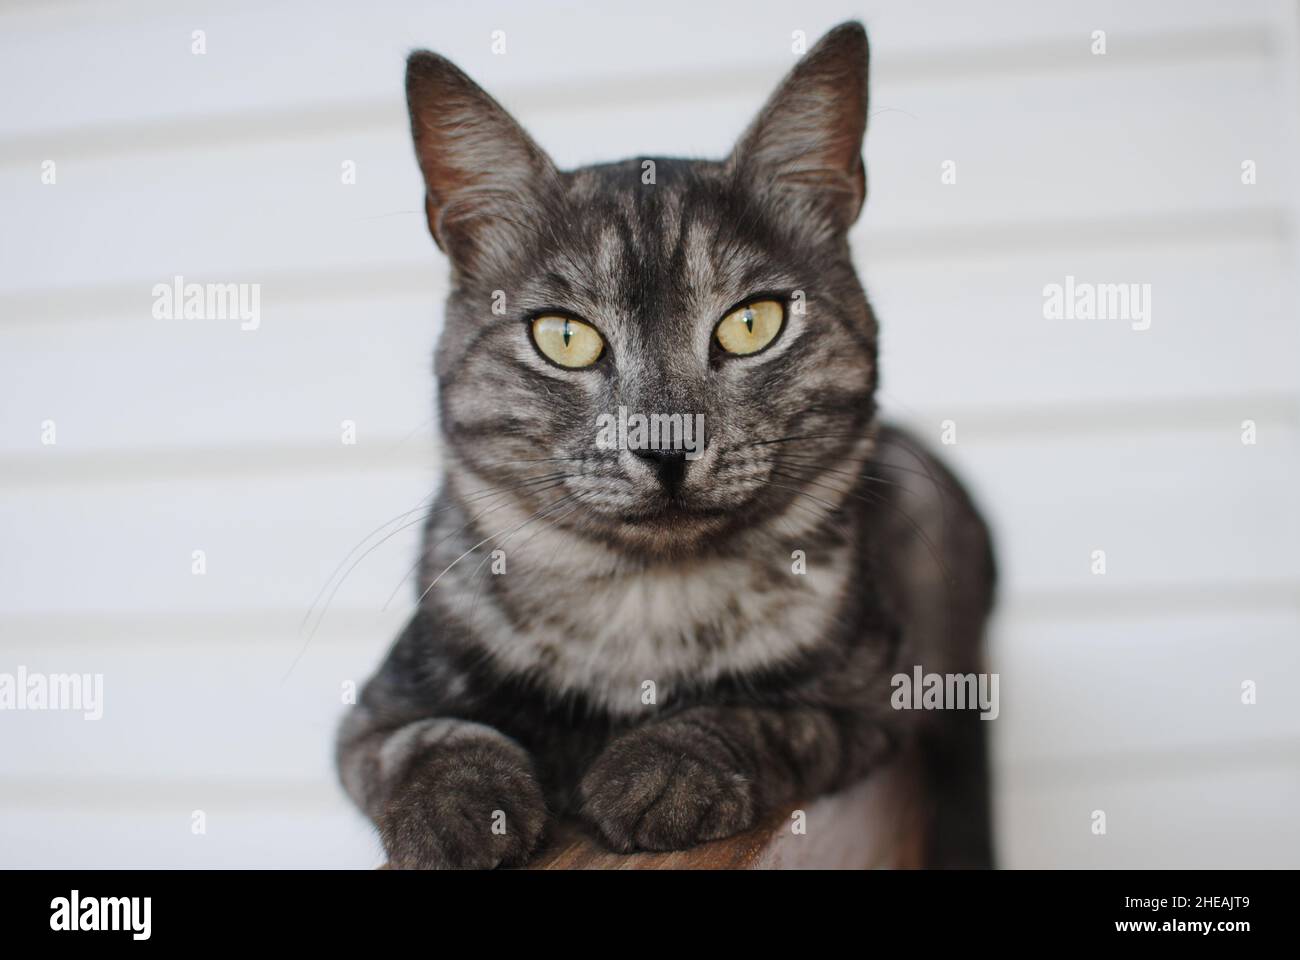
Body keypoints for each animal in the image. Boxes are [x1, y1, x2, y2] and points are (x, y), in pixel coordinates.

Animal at [335, 20, 993, 868]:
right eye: (564, 337)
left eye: (753, 324)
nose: (666, 443)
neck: (642, 611)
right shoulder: (374, 711)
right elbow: (426, 741)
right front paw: (458, 808)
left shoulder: (873, 702)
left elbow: (763, 715)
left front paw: (665, 769)